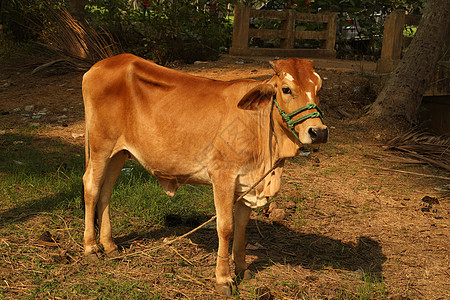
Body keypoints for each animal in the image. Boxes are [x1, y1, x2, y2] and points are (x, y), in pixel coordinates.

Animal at [81, 54, 326, 296]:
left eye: (319, 87)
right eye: (286, 89)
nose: (318, 132)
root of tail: (98, 66)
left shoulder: (247, 183)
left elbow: (242, 226)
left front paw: (242, 268)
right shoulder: (223, 177)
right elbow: (226, 227)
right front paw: (224, 279)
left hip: (119, 153)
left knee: (105, 192)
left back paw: (110, 245)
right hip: (101, 146)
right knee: (91, 187)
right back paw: (91, 247)